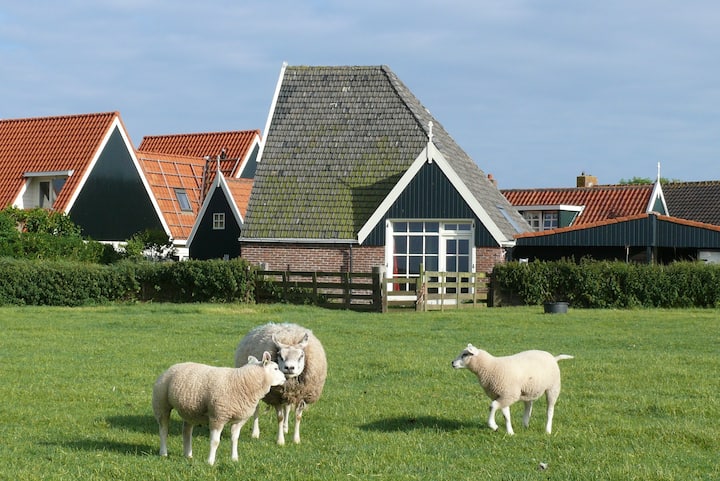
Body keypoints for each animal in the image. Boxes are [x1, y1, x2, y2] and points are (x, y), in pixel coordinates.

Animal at [151, 348, 284, 464]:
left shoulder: (239, 420)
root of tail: (172, 366)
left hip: (190, 410)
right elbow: (215, 442)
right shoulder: (218, 416)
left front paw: (234, 458)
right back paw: (163, 452)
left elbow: (235, 439)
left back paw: (188, 454)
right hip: (161, 404)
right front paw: (210, 462)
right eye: (276, 368)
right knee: (163, 430)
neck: (244, 381)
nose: (285, 378)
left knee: (186, 431)